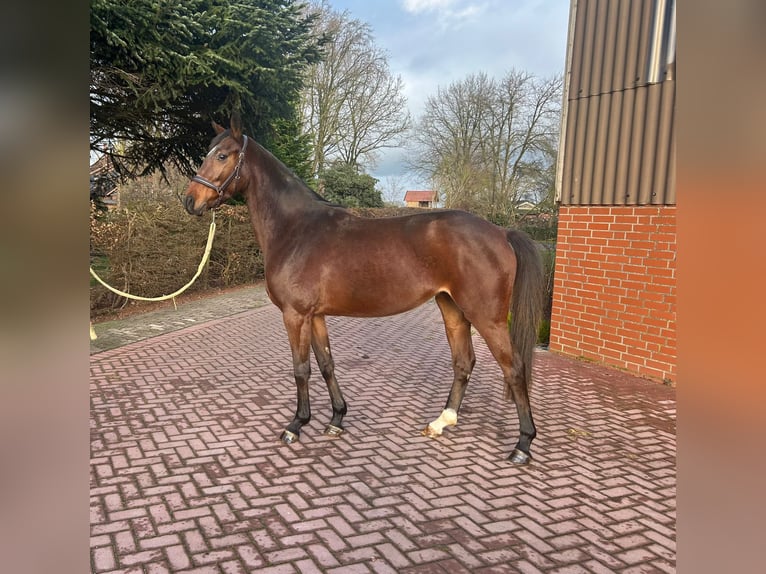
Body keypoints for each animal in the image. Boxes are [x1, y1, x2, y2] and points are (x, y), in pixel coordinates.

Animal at [184, 115, 544, 466]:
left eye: (222, 155)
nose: (190, 201)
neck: (296, 229)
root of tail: (501, 232)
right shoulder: (315, 316)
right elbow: (326, 364)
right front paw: (336, 419)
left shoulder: (295, 315)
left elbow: (301, 369)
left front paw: (296, 425)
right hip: (452, 308)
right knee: (464, 362)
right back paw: (442, 422)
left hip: (487, 317)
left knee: (514, 368)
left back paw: (523, 445)